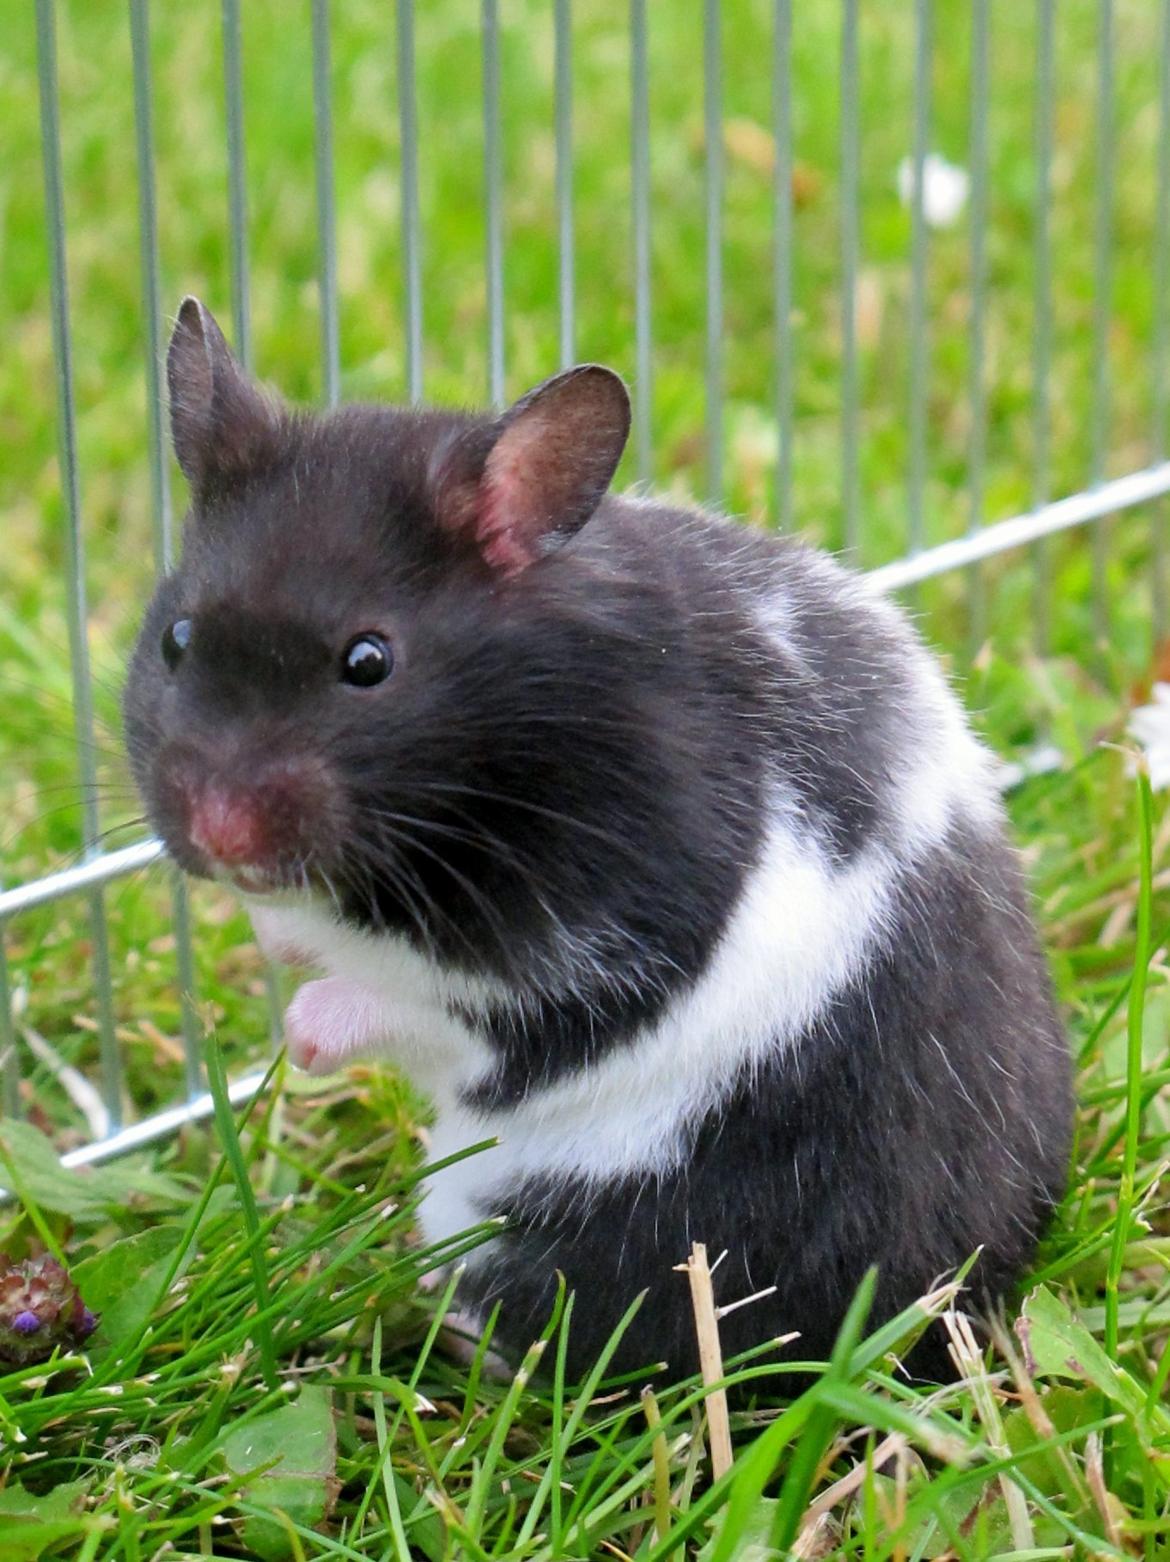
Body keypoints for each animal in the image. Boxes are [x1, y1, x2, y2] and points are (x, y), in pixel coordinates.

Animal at [123, 297, 1073, 1381]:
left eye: (368, 661)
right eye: (176, 640)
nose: (217, 837)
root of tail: (933, 1320)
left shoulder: (587, 950)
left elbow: (415, 998)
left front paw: (301, 1033)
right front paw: (275, 938)